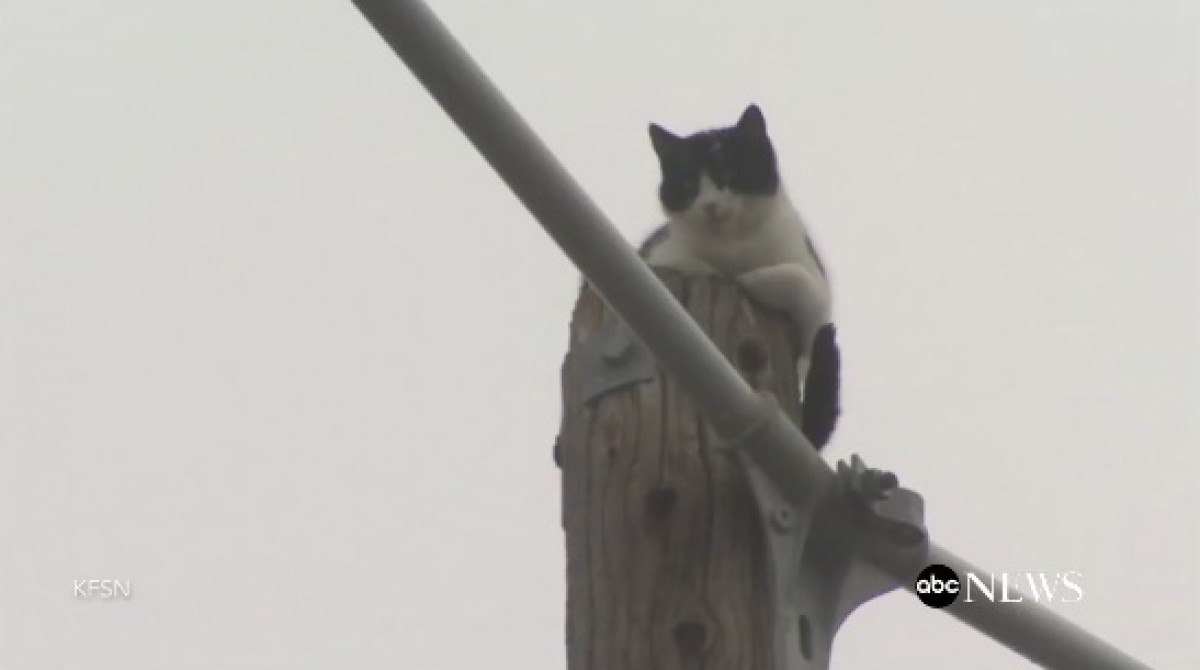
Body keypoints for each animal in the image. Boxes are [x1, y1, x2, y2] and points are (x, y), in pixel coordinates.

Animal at [638, 103, 844, 451]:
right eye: (688, 184)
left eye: (729, 174)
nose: (710, 206)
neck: (736, 246)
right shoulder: (658, 254)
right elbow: (695, 264)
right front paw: (728, 274)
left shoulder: (815, 294)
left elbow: (801, 284)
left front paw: (752, 280)